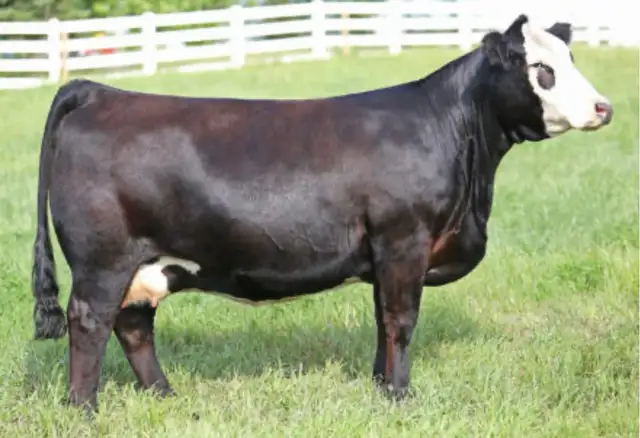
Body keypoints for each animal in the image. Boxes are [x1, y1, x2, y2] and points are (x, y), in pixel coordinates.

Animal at [31, 14, 613, 414]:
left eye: (573, 61)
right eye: (542, 69)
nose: (603, 107)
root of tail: (99, 91)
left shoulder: (385, 253)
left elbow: (382, 320)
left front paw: (381, 387)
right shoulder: (404, 240)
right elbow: (401, 320)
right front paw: (401, 396)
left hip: (144, 262)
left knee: (133, 323)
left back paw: (166, 395)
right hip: (104, 259)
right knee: (90, 320)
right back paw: (84, 408)